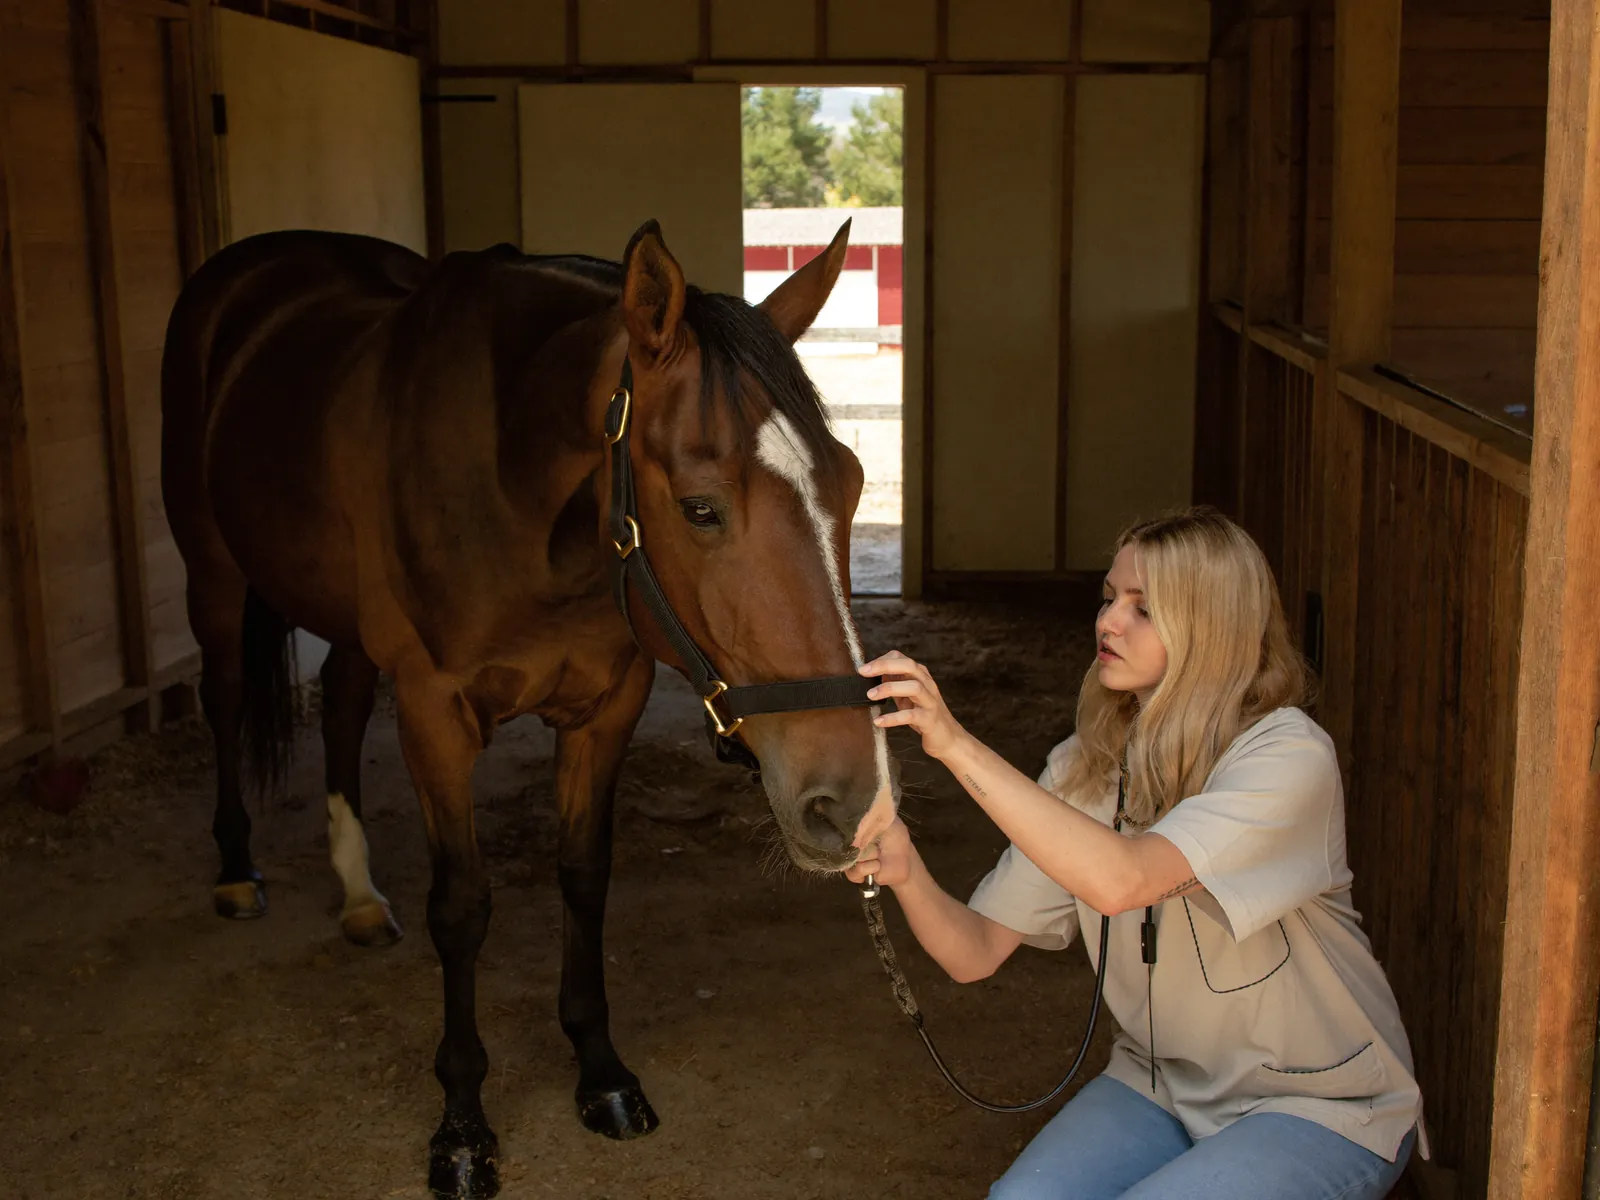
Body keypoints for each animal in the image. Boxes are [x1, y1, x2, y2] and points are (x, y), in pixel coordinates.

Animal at [159, 217, 899, 1198]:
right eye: (701, 508)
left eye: (849, 486)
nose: (853, 802)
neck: (507, 477)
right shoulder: (434, 716)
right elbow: (461, 909)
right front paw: (463, 1125)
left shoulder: (607, 707)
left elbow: (584, 878)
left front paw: (601, 1071)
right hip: (213, 575)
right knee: (224, 693)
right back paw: (238, 871)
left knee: (345, 705)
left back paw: (357, 892)